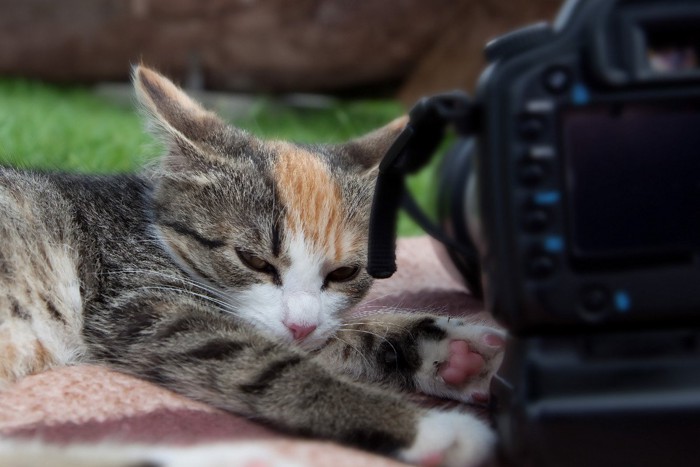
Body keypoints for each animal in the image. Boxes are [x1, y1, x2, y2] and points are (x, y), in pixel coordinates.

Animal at [0, 66, 504, 467]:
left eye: (344, 273)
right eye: (253, 260)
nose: (300, 325)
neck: (152, 230)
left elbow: (325, 338)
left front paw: (459, 355)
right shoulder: (140, 300)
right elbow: (265, 363)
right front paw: (429, 427)